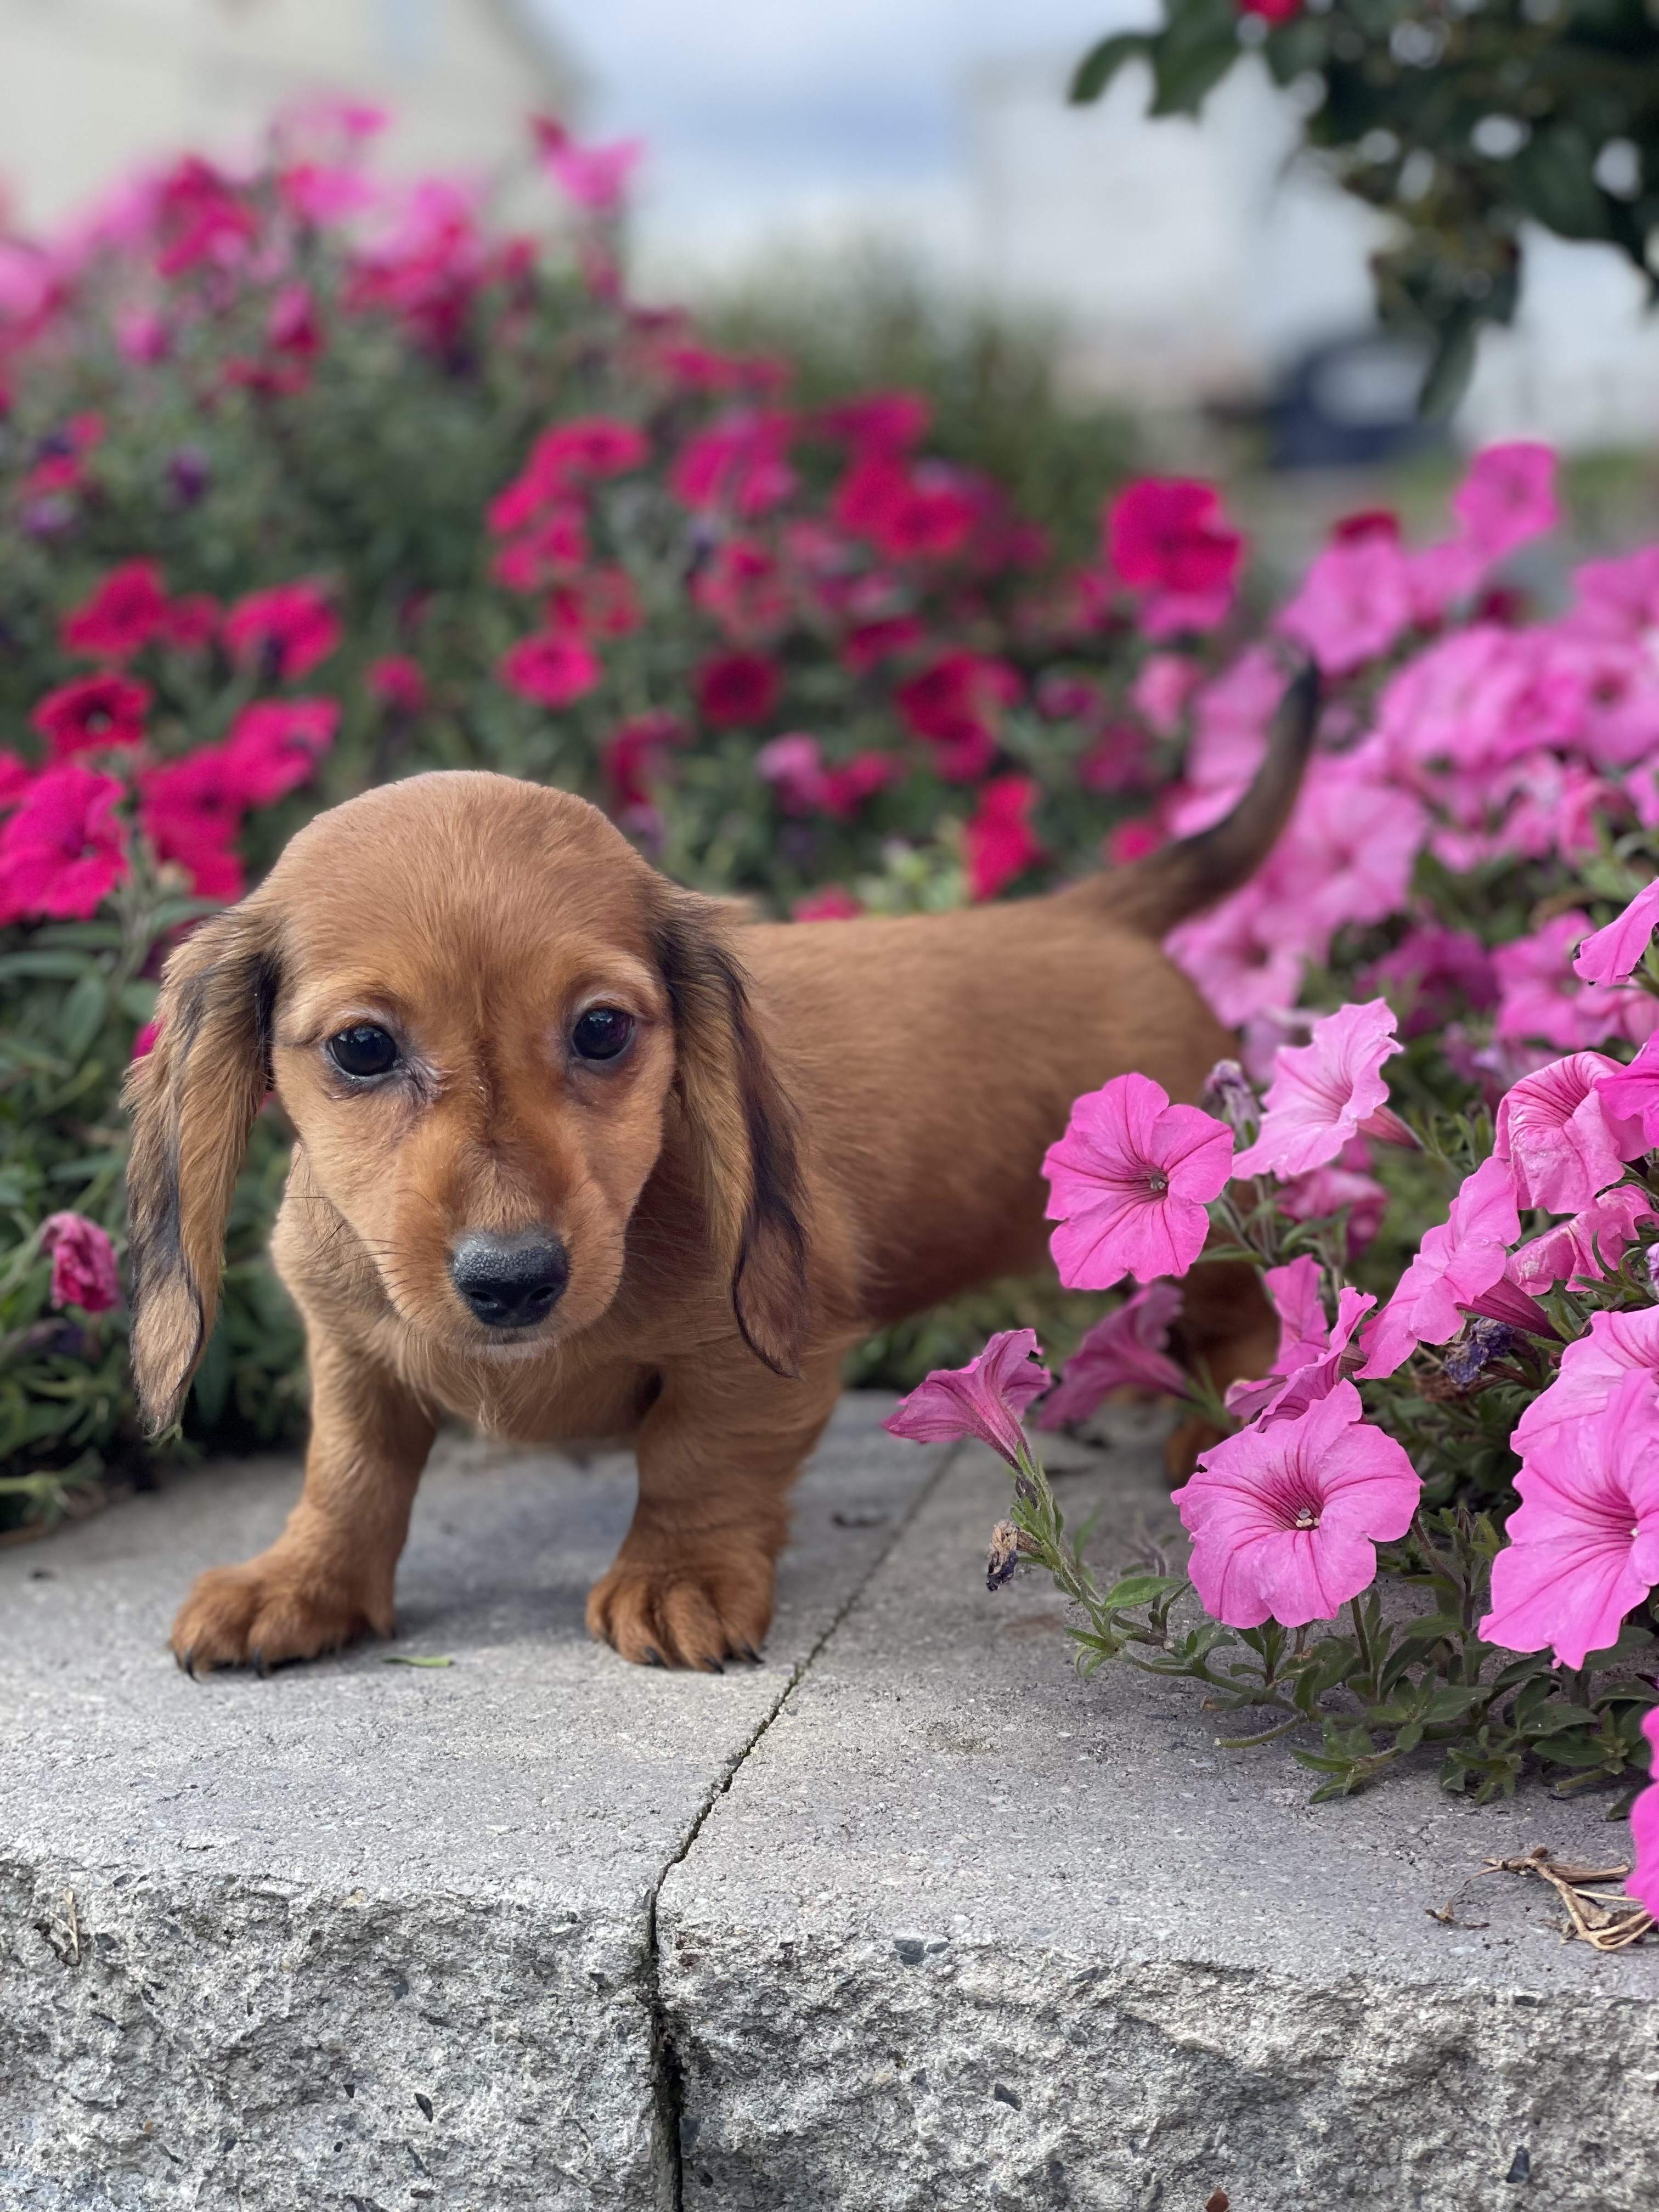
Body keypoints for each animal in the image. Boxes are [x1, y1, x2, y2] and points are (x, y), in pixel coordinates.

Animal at [123, 663, 1318, 1663]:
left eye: (602, 1030)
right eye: (363, 1049)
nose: (512, 1284)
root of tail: (1090, 909)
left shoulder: (748, 1358)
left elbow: (696, 1459)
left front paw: (676, 1578)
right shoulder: (352, 1354)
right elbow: (349, 1474)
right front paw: (301, 1582)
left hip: (1193, 1226)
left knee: (1240, 1316)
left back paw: (1229, 1423)